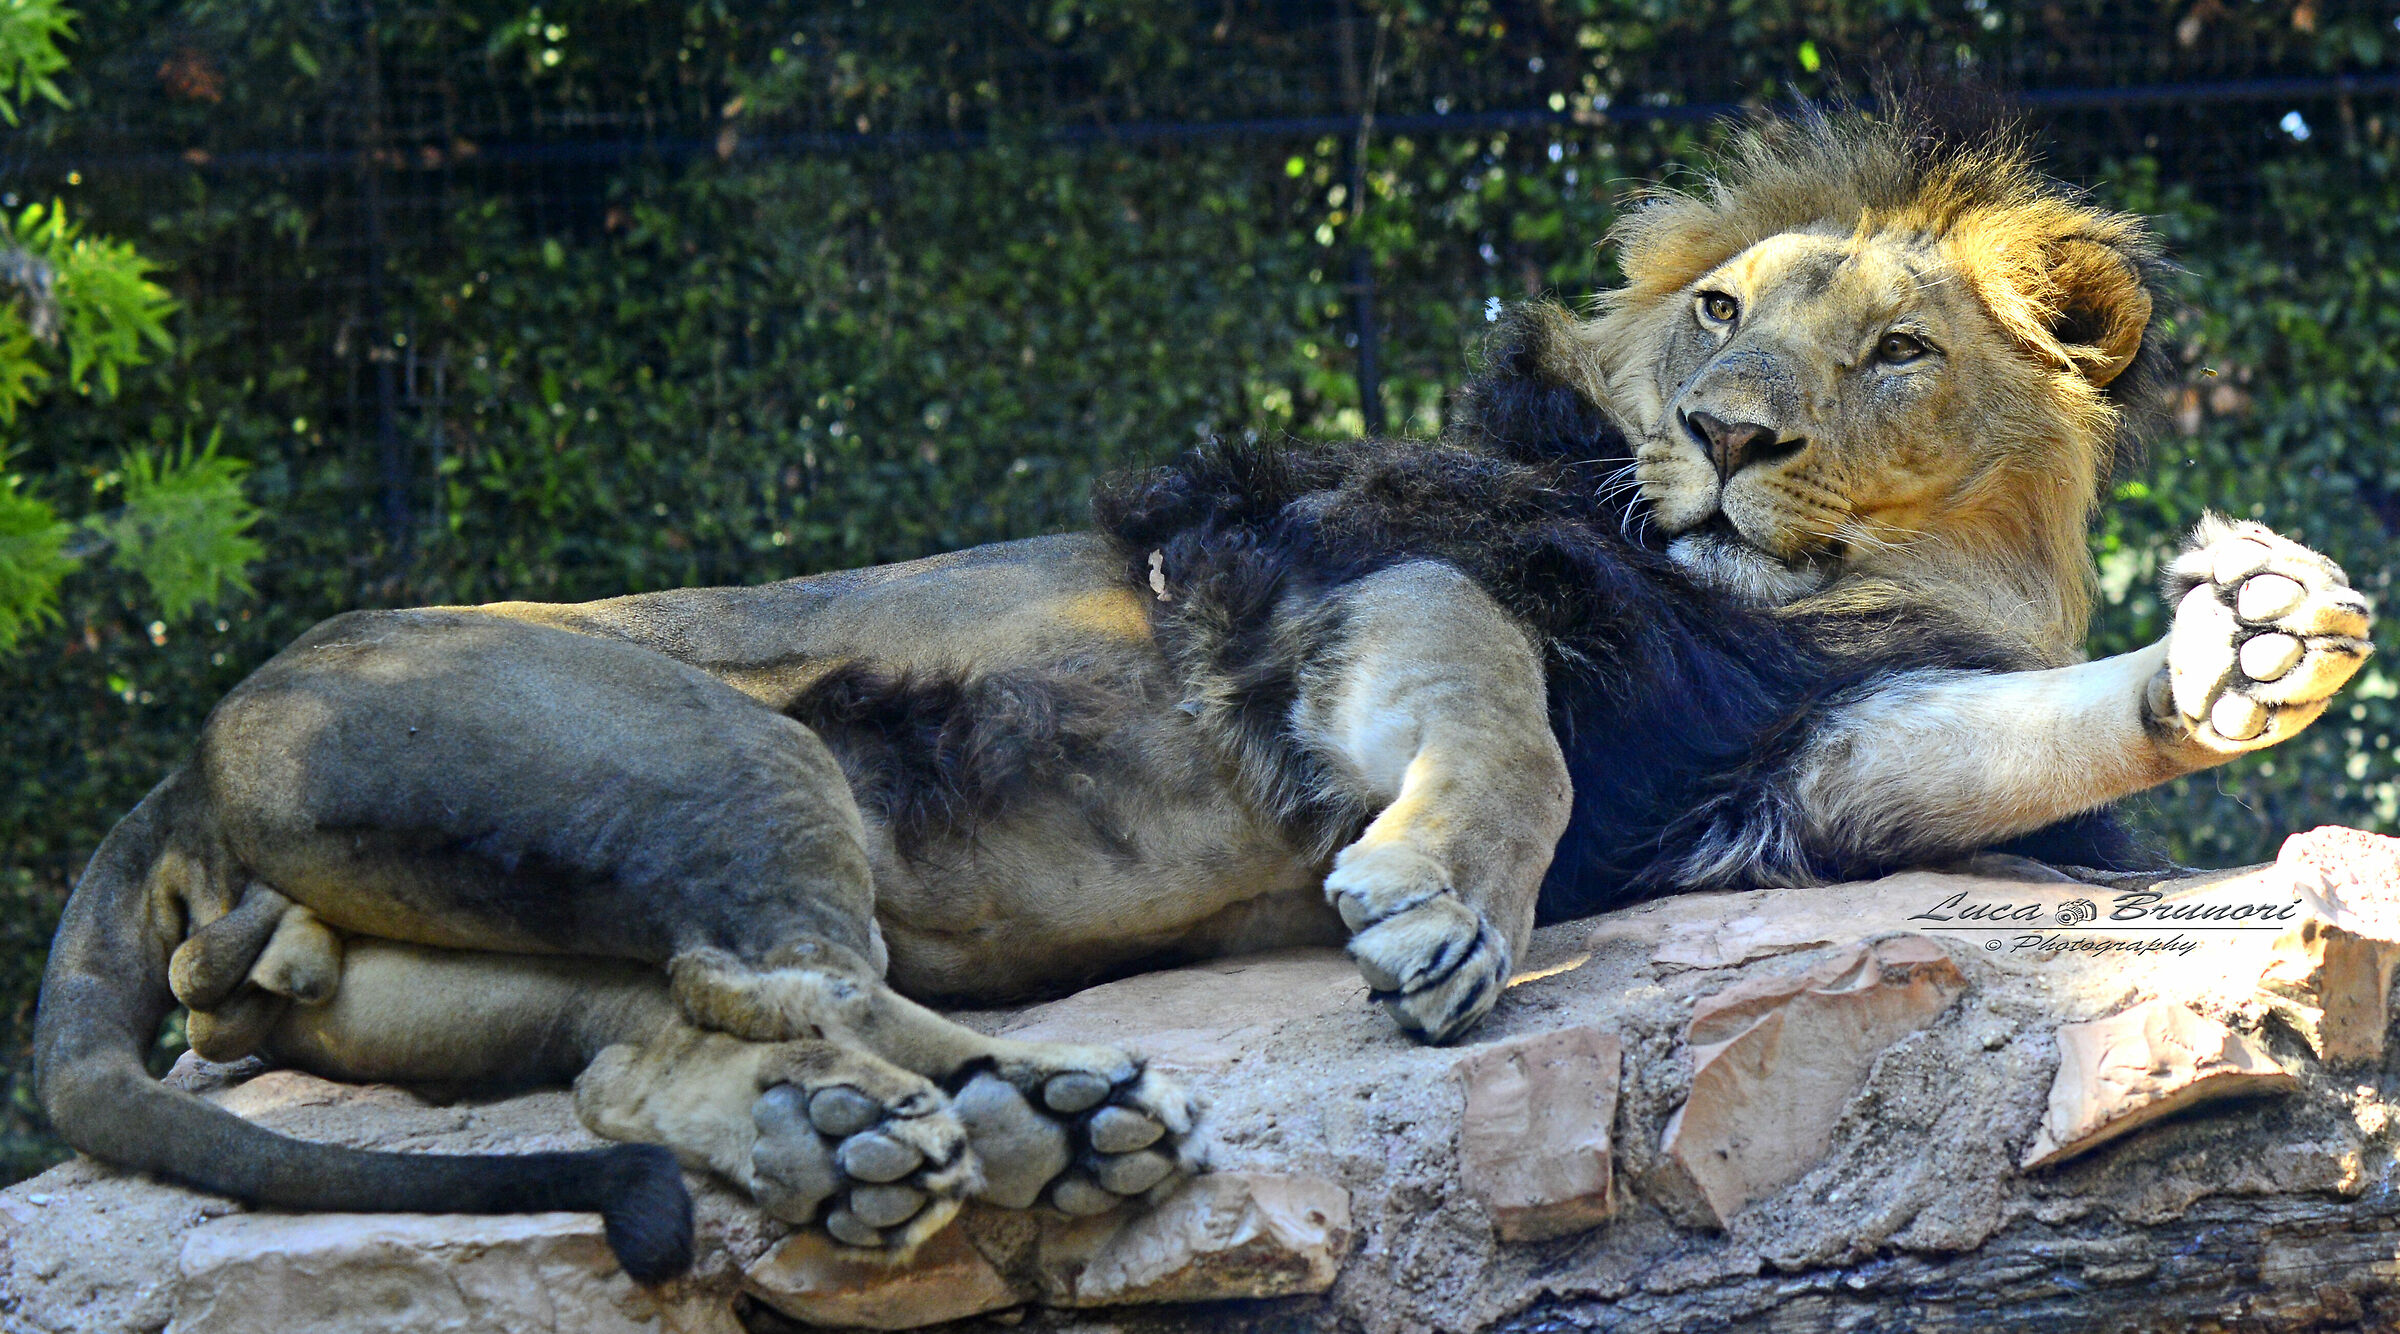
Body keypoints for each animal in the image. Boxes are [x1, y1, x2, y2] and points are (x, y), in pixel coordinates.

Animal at [34, 100, 2372, 1281]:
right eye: (1720, 312)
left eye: (1894, 352)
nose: (1725, 438)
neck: (1828, 597)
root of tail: (183, 762)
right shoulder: (1341, 549)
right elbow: (1506, 715)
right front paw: (1438, 912)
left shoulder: (1791, 760)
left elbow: (1990, 747)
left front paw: (2243, 645)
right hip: (713, 746)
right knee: (780, 975)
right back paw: (1048, 1114)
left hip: (459, 964)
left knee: (646, 1048)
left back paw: (920, 1142)